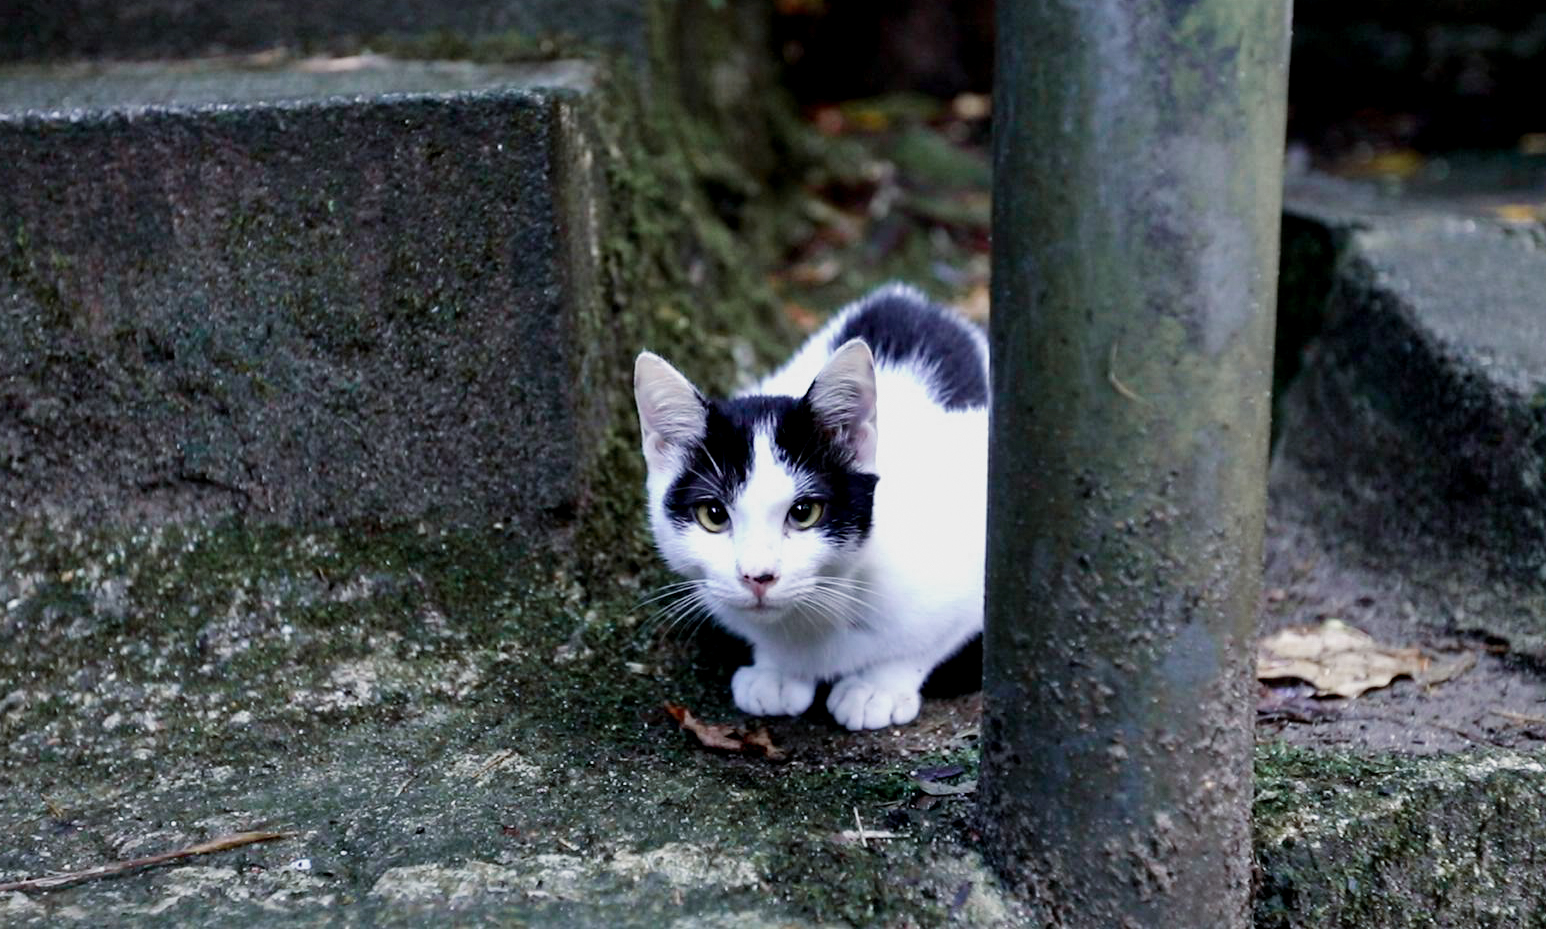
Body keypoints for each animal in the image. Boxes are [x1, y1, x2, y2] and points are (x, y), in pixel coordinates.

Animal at [630, 278, 983, 729]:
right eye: (713, 515)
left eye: (803, 512)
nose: (758, 577)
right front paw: (777, 671)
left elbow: (925, 642)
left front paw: (879, 687)